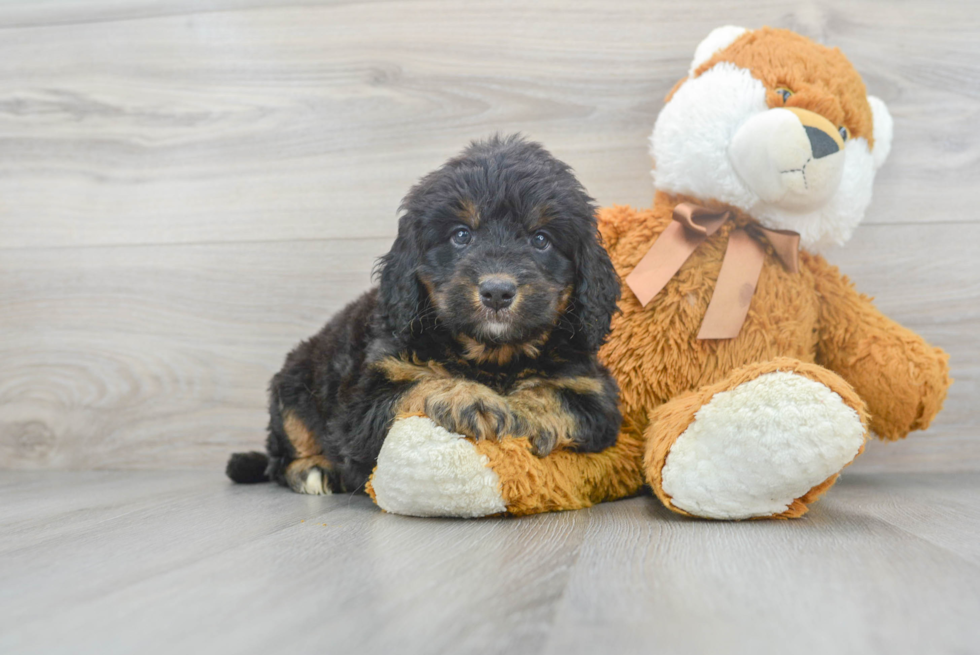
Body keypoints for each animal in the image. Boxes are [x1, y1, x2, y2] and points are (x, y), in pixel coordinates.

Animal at [228, 133, 620, 494]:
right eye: (461, 235)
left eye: (541, 240)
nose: (497, 291)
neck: (492, 357)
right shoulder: (364, 401)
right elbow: (419, 383)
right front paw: (469, 398)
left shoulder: (594, 391)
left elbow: (559, 396)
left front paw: (523, 409)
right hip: (292, 388)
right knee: (281, 456)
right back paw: (313, 469)